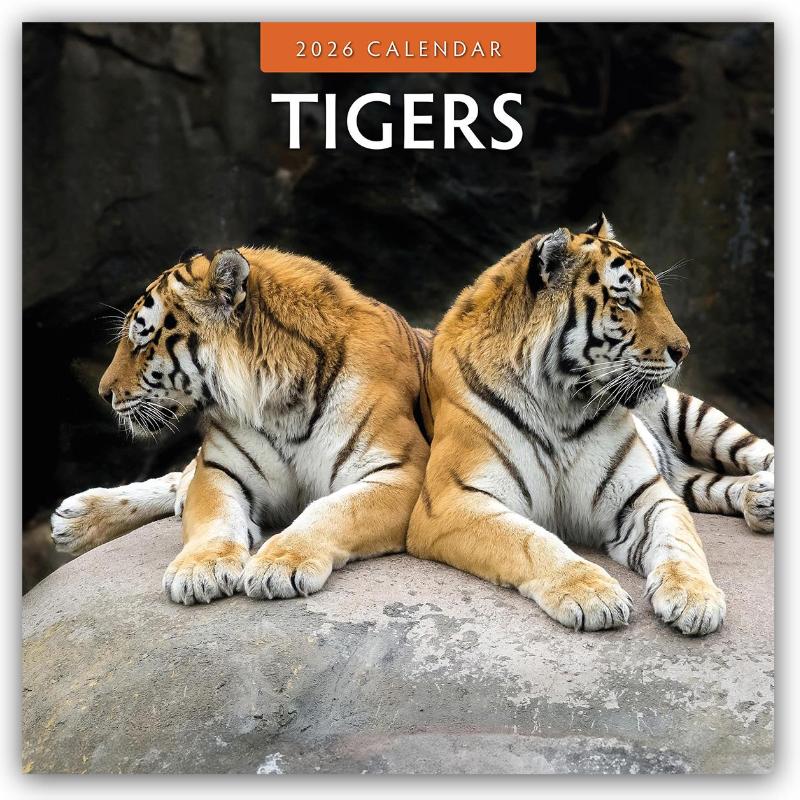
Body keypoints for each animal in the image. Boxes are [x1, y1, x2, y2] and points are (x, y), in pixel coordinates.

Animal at [51, 247, 431, 604]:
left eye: (142, 342)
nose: (104, 393)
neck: (280, 401)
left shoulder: (402, 473)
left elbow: (331, 511)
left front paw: (279, 564)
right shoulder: (219, 469)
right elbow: (215, 518)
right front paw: (199, 570)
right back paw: (76, 517)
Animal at [407, 214, 774, 636]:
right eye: (625, 301)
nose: (684, 351)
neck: (561, 405)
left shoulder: (645, 495)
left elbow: (679, 542)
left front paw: (694, 598)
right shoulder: (453, 499)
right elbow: (530, 542)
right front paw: (594, 595)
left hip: (696, 417)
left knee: (759, 453)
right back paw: (758, 499)